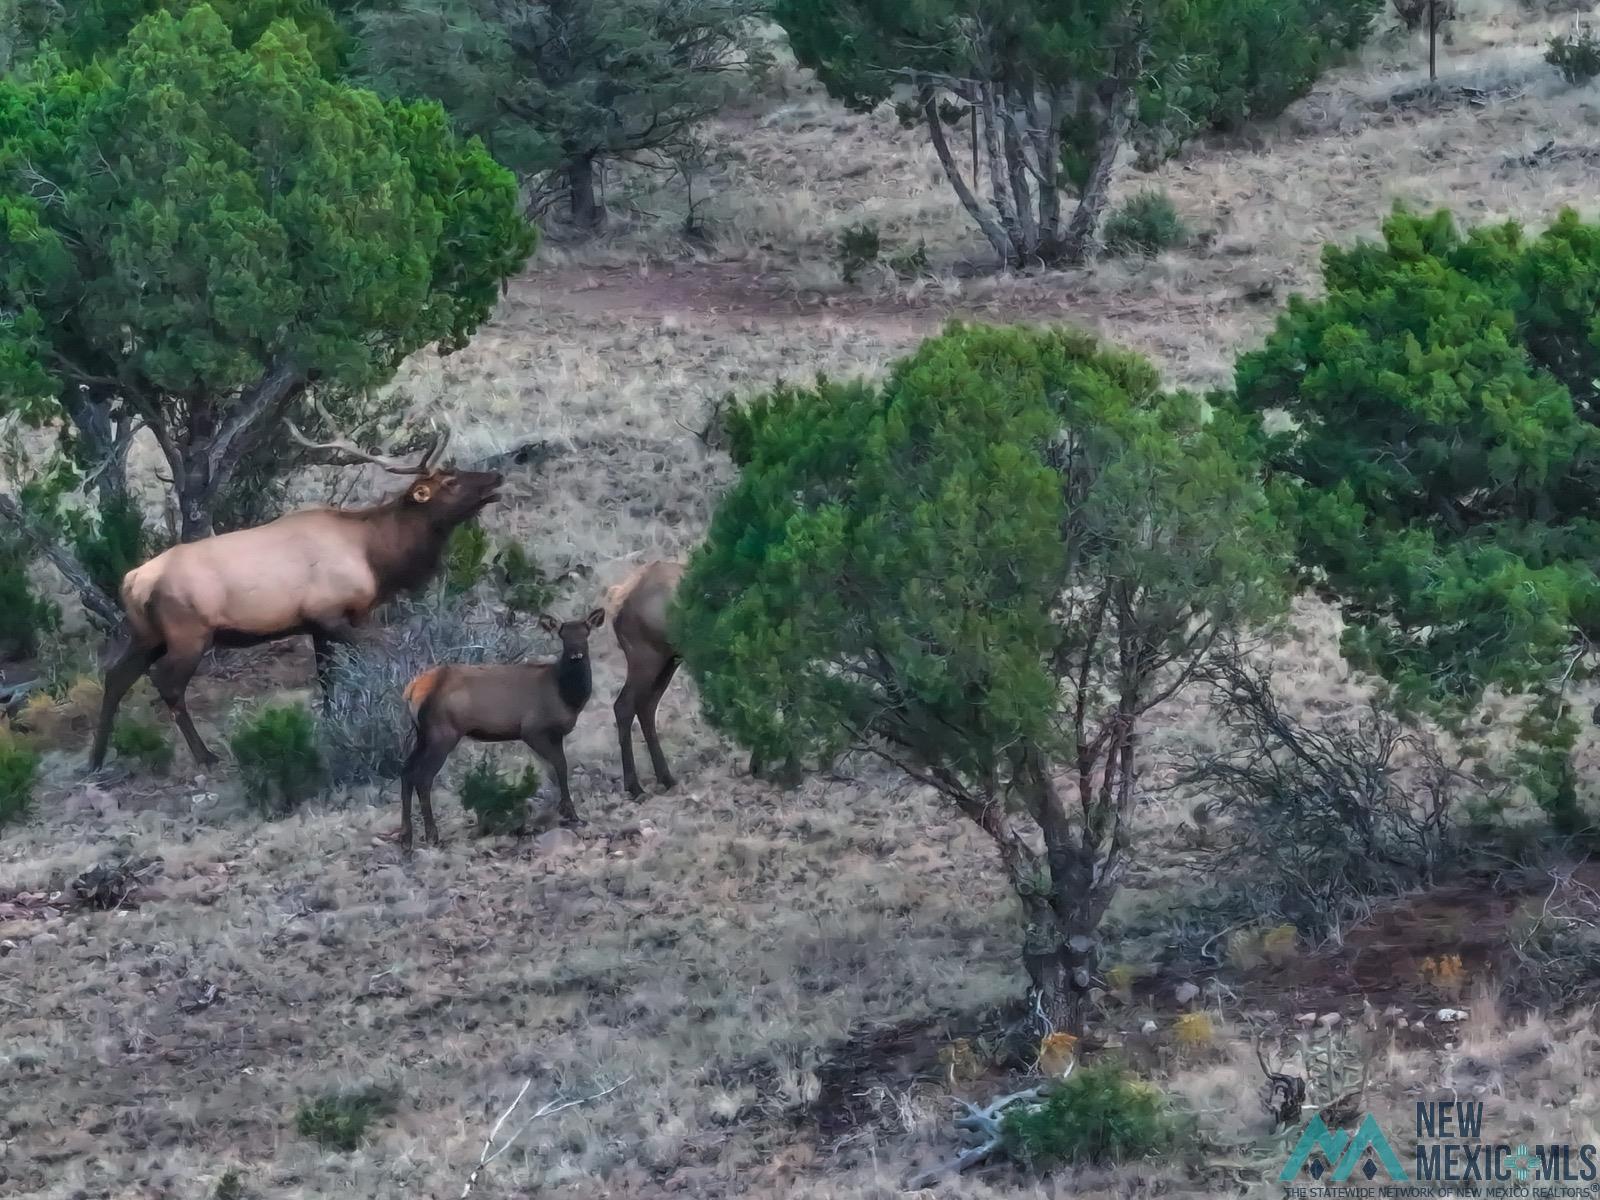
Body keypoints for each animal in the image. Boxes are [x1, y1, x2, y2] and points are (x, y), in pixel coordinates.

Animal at [89, 419, 499, 771]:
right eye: (450, 481)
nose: (496, 475)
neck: (375, 557)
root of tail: (132, 581)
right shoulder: (336, 615)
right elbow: (369, 659)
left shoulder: (315, 624)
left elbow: (328, 679)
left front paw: (333, 722)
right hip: (188, 634)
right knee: (167, 683)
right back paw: (205, 756)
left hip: (147, 635)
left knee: (116, 677)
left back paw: (95, 759)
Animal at [398, 611, 604, 857]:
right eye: (564, 636)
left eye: (585, 633)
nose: (576, 655)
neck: (567, 697)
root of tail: (411, 690)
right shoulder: (533, 729)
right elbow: (560, 767)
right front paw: (571, 814)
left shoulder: (555, 735)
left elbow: (556, 770)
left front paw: (562, 810)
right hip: (442, 733)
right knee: (423, 777)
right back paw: (432, 835)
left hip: (422, 735)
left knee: (406, 771)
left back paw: (406, 837)